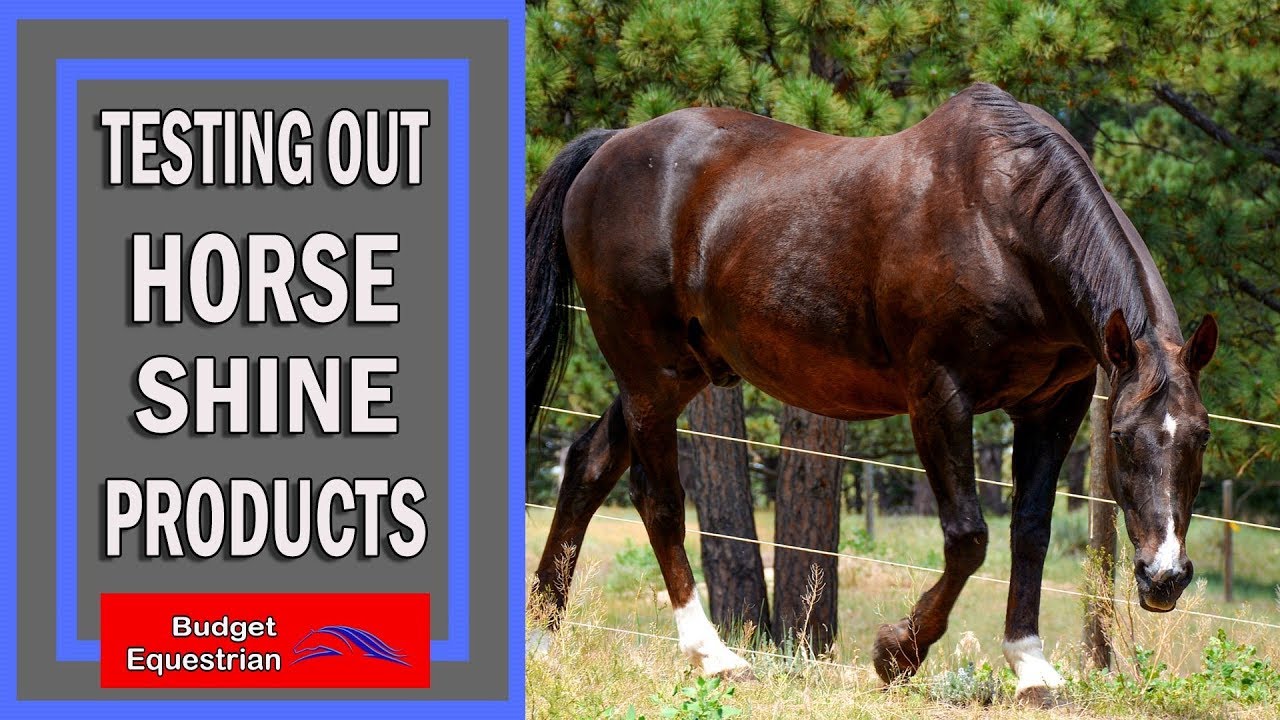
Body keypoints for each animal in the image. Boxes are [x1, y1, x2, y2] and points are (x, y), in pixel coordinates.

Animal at [525, 82, 1218, 702]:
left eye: (1202, 437)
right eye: (1122, 440)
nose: (1164, 577)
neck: (1005, 221)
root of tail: (611, 146)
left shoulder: (1054, 406)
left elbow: (1030, 530)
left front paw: (1031, 667)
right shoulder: (939, 394)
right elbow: (968, 537)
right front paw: (897, 653)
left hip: (676, 374)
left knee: (587, 466)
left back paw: (543, 635)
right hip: (652, 374)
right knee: (659, 499)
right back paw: (714, 657)